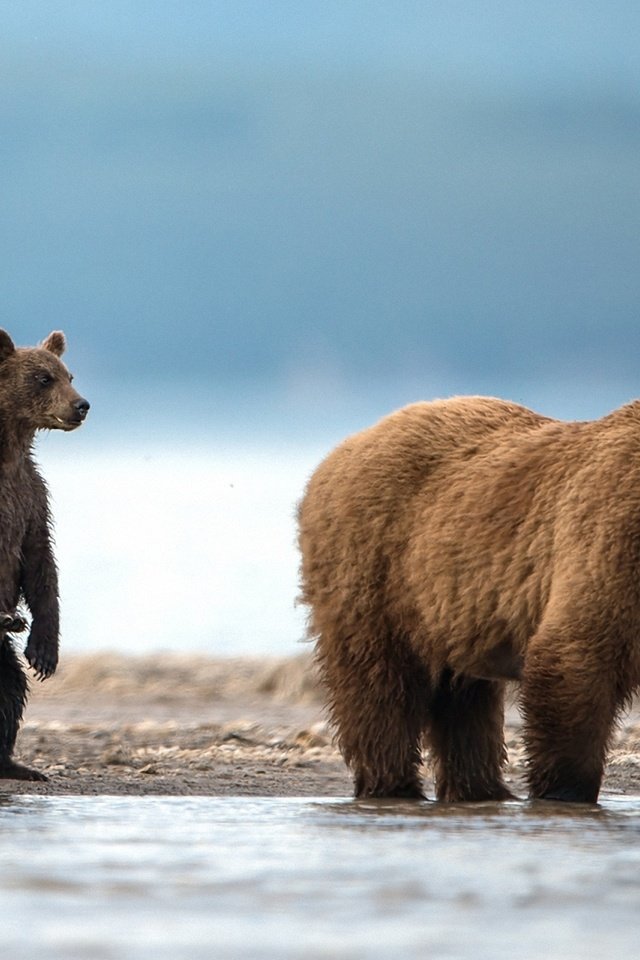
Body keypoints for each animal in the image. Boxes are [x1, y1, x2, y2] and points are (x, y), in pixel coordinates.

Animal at [296, 394, 640, 808]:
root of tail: (339, 451)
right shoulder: (610, 541)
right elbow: (573, 659)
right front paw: (564, 792)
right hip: (374, 569)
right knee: (379, 686)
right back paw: (394, 787)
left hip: (453, 606)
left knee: (463, 701)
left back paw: (480, 790)